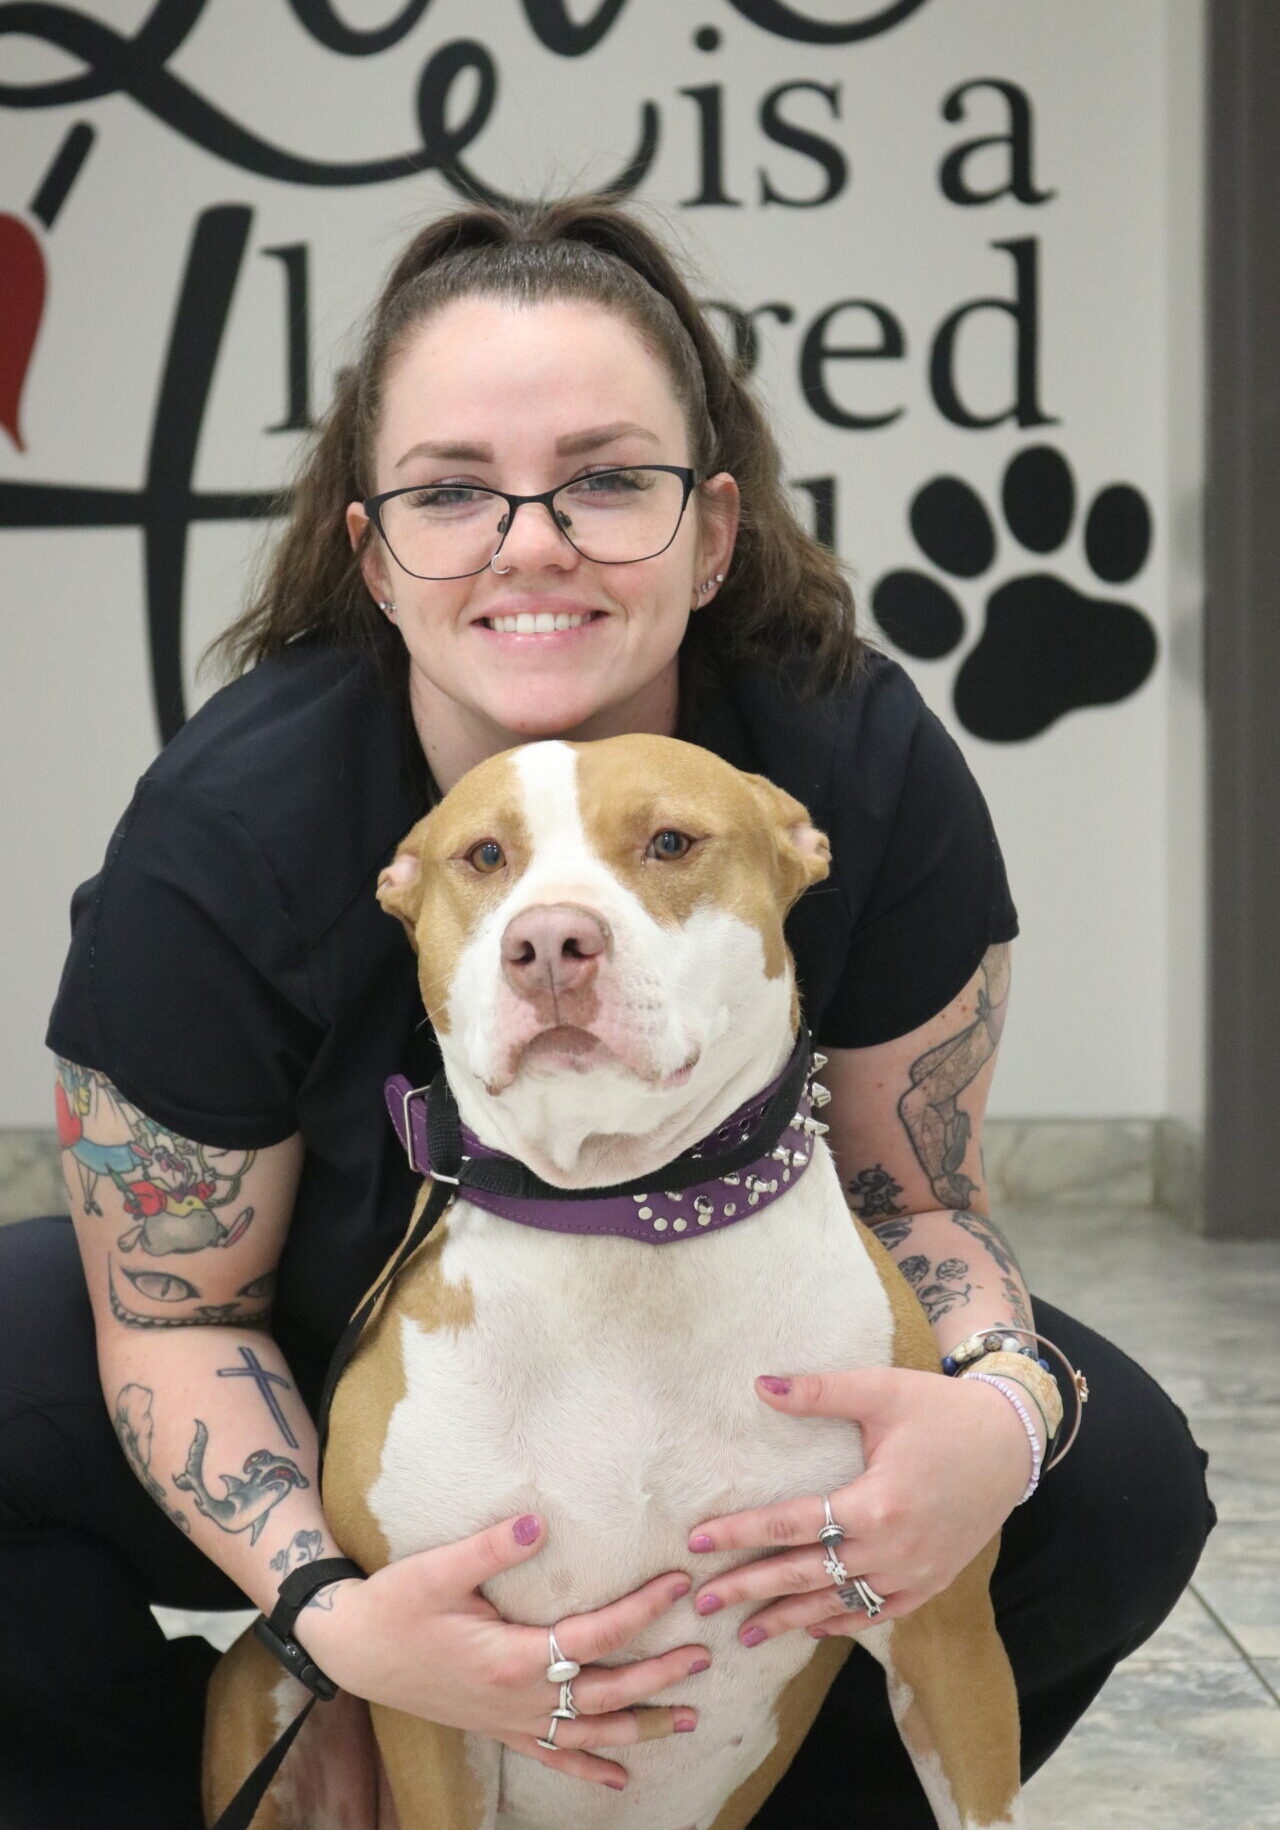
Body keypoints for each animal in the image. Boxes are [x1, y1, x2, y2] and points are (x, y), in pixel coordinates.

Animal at [205, 732, 1025, 1830]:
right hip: (271, 1687)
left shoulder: (945, 1632)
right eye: (484, 856)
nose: (550, 942)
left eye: (669, 842)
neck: (617, 1219)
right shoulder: (427, 1682)